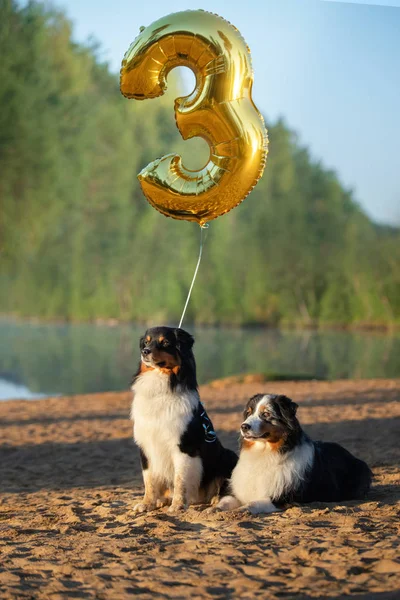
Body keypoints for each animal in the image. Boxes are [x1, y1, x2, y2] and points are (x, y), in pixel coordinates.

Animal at [130, 326, 238, 512]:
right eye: (146, 342)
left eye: (165, 342)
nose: (145, 352)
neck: (161, 387)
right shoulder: (145, 446)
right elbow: (149, 480)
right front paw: (147, 503)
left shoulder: (184, 447)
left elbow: (180, 479)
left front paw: (178, 505)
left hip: (230, 456)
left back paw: (215, 499)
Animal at [216, 392, 372, 512]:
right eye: (248, 413)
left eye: (266, 414)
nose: (243, 426)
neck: (265, 452)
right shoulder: (239, 490)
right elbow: (226, 500)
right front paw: (215, 509)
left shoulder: (280, 498)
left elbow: (253, 503)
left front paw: (241, 509)